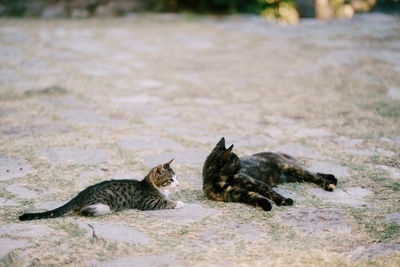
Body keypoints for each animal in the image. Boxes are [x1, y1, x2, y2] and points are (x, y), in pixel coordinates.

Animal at [17, 160, 183, 221]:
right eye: (170, 179)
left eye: (176, 177)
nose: (178, 184)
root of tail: (80, 195)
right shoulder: (148, 203)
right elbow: (165, 203)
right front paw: (179, 203)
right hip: (104, 202)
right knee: (84, 211)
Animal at [203, 138, 338, 211]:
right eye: (236, 162)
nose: (241, 166)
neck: (225, 179)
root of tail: (274, 152)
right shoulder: (236, 193)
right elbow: (253, 196)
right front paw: (265, 204)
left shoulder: (256, 183)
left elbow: (270, 192)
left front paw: (283, 201)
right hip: (292, 177)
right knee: (310, 175)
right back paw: (332, 178)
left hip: (290, 167)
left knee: (312, 175)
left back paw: (329, 182)